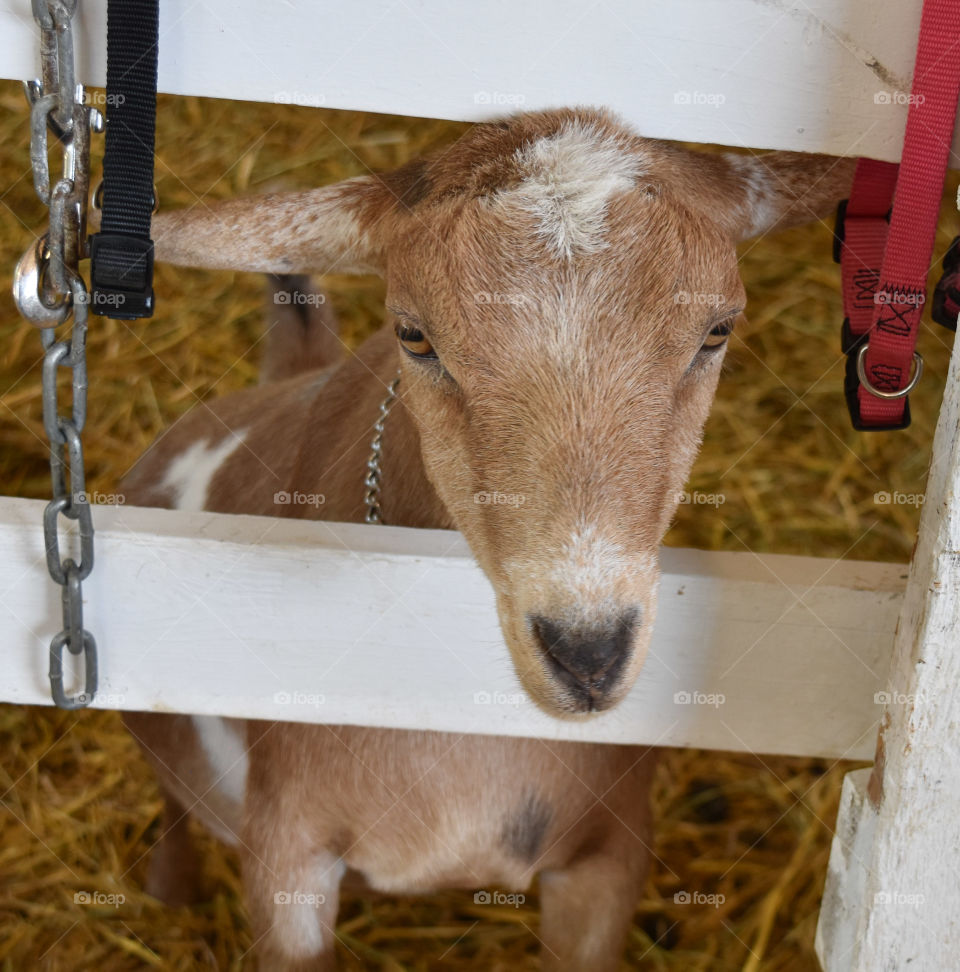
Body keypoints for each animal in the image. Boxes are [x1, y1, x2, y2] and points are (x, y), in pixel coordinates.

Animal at [118, 110, 848, 968]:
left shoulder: (610, 850)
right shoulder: (285, 852)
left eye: (718, 330)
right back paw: (169, 893)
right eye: (414, 335)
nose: (588, 654)